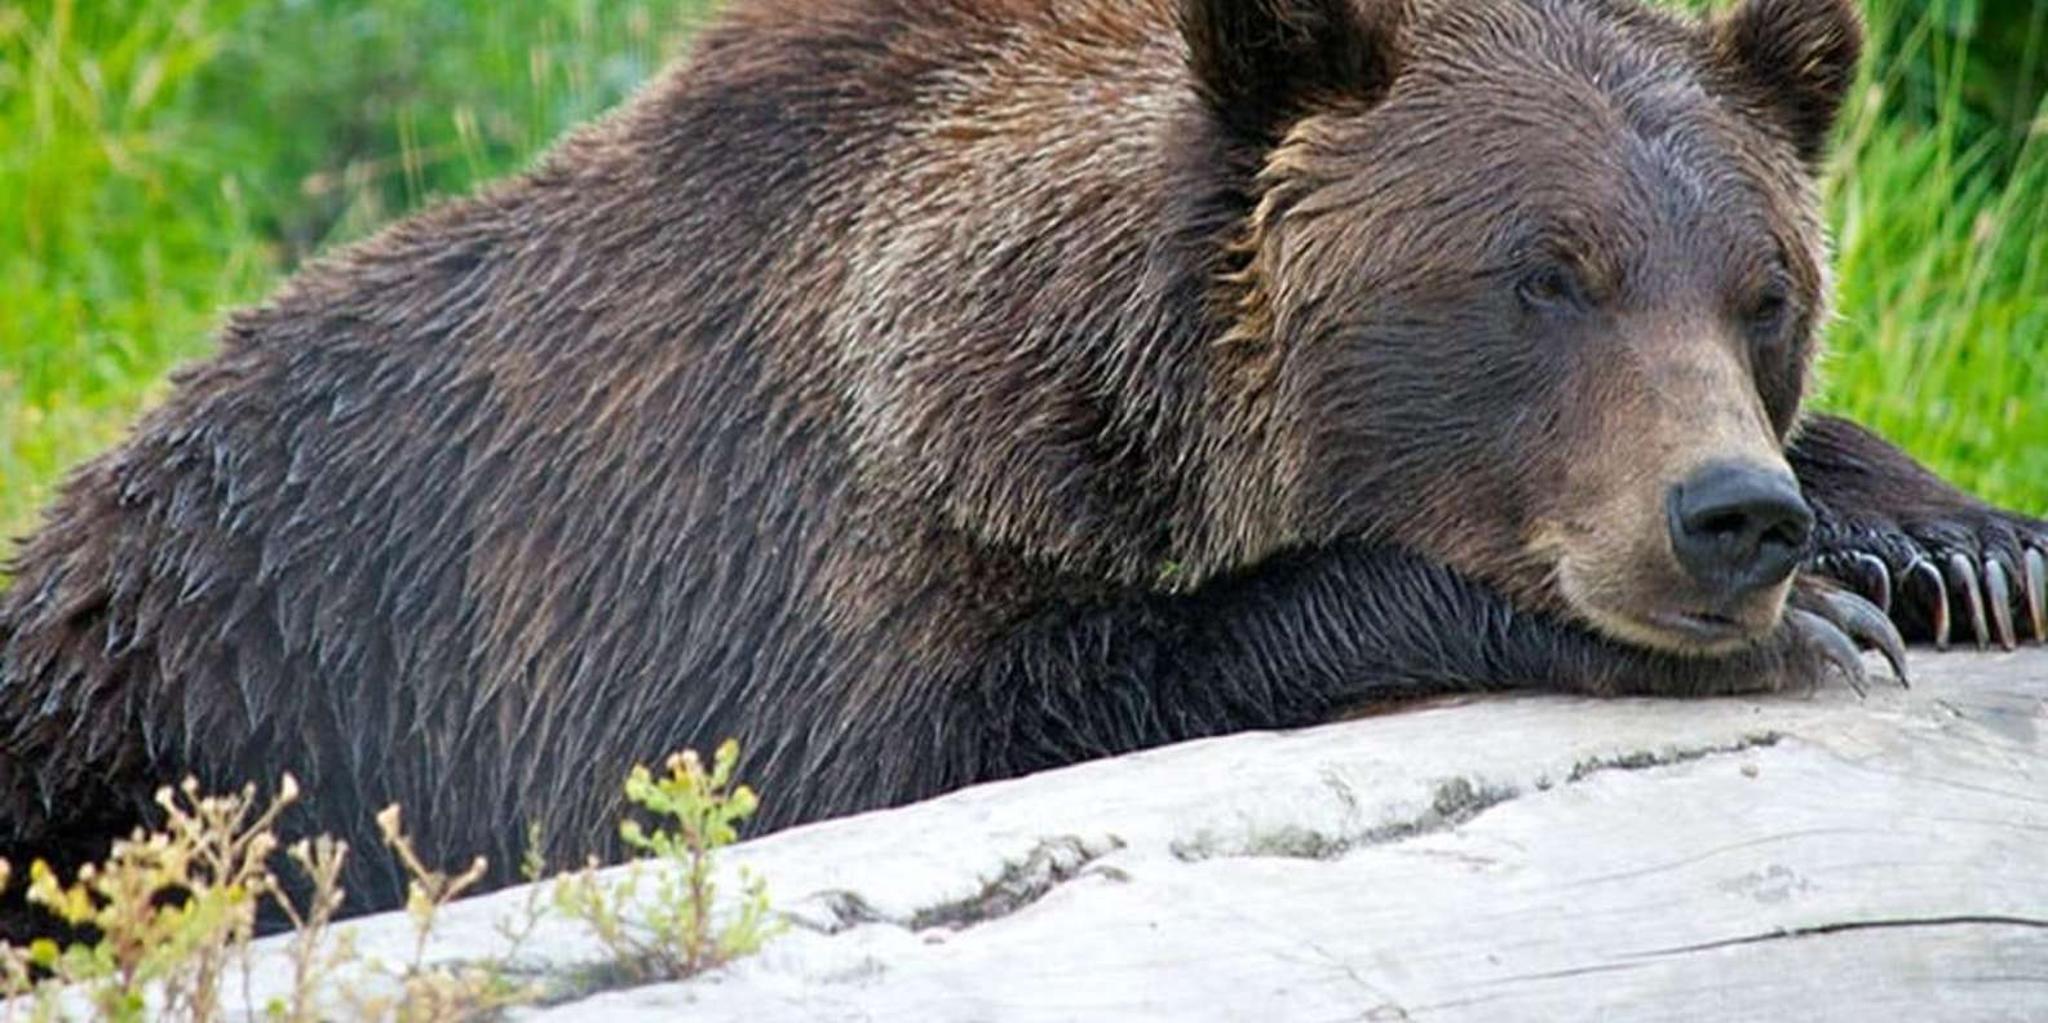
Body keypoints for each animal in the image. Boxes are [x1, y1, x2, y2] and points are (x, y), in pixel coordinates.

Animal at [2, 0, 2044, 922]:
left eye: (1762, 287)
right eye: (1543, 273)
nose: (1733, 518)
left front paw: (1953, 541)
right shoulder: (755, 576)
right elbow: (978, 716)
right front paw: (1815, 615)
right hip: (175, 679)